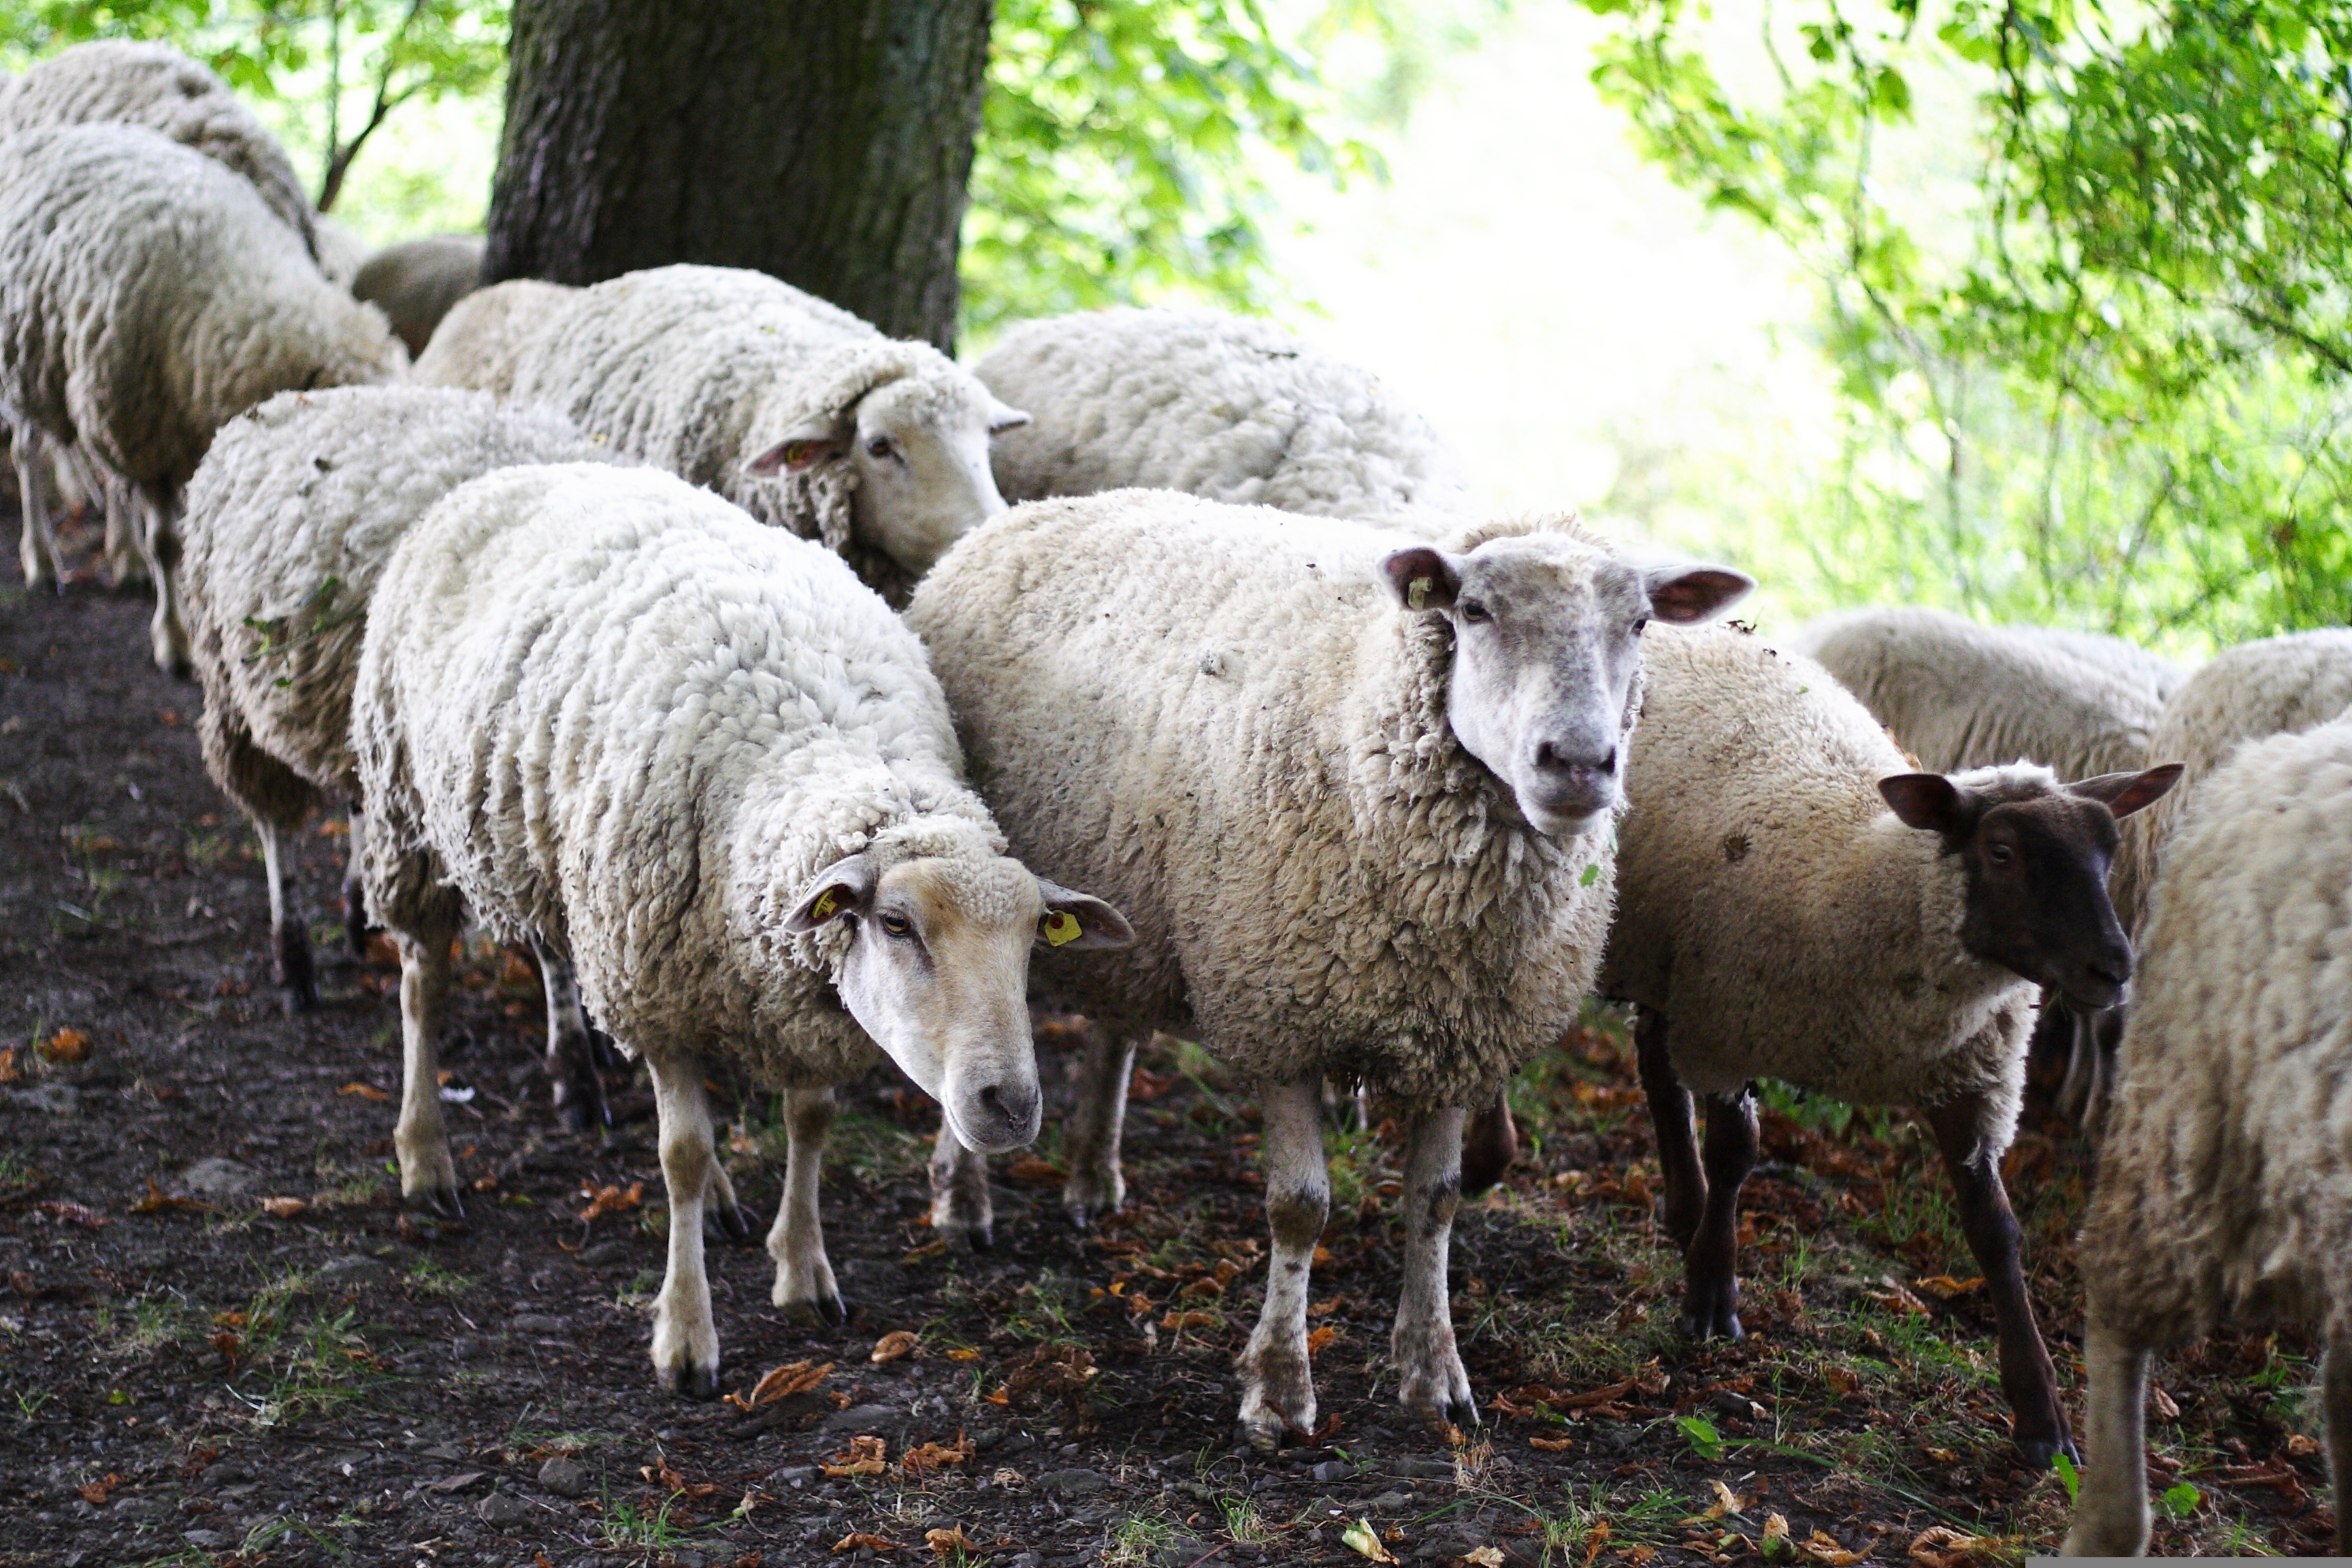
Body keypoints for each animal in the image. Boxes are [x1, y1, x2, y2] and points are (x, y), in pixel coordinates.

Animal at [0, 124, 407, 673]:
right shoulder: (147, 441)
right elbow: (168, 545)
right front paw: (175, 640)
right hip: (26, 365)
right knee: (26, 454)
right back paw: (43, 559)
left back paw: (123, 555)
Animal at [176, 385, 630, 1128]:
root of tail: (281, 403)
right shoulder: (508, 797)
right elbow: (550, 949)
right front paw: (575, 1077)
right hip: (234, 687)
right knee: (273, 825)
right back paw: (293, 959)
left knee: (356, 802)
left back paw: (356, 912)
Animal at [350, 461, 1133, 1393]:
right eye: (896, 924)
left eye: (1032, 938)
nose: (1009, 1105)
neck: (809, 745)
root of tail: (525, 468)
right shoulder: (652, 992)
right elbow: (680, 1155)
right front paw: (686, 1337)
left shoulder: (799, 1000)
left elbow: (810, 1125)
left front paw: (802, 1271)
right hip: (406, 812)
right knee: (422, 985)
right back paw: (424, 1158)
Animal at [905, 490, 1752, 1441]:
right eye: (1473, 610)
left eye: (1639, 622)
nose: (1577, 764)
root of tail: (1023, 512)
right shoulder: (1278, 1016)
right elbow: (1299, 1209)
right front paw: (1279, 1388)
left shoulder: (1460, 1039)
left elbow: (1437, 1201)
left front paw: (1433, 1373)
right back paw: (963, 1199)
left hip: (1136, 897)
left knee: (1117, 1026)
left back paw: (1092, 1173)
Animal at [1598, 623, 2177, 1466]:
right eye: (2001, 852)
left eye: (2108, 851)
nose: (2115, 967)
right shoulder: (1727, 1024)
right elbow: (1740, 1152)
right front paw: (1712, 1296)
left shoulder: (1970, 1081)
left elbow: (1997, 1233)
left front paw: (2042, 1417)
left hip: (1661, 953)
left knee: (1653, 1060)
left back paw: (1685, 1206)